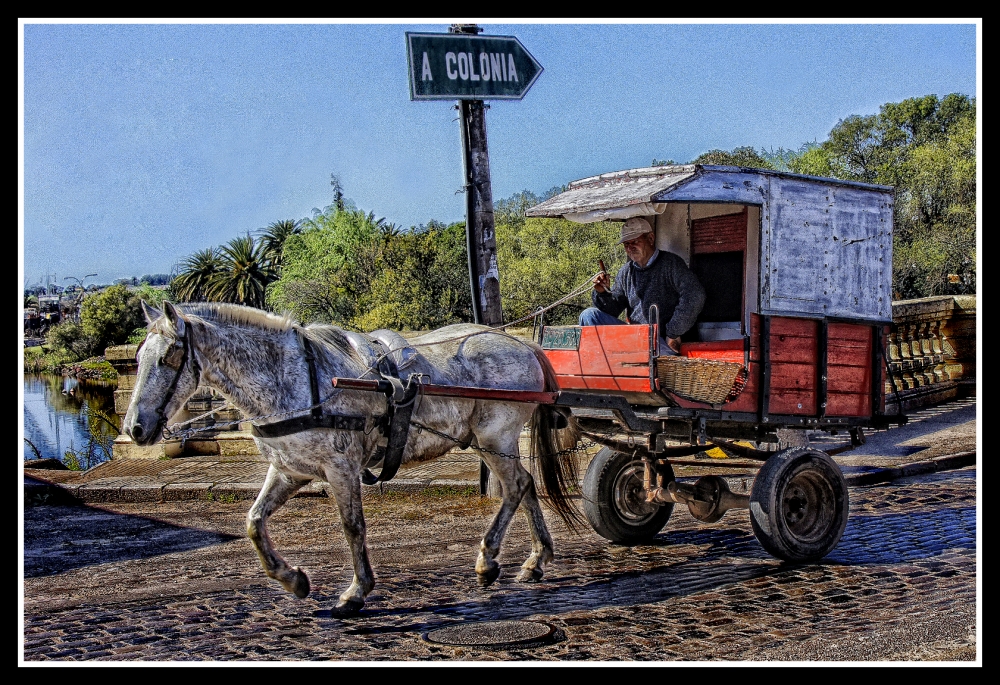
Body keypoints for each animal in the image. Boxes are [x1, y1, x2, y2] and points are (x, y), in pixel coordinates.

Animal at [123, 304, 580, 616]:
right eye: (139, 358)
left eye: (168, 358)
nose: (135, 428)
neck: (295, 378)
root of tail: (524, 344)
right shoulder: (289, 470)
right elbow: (253, 522)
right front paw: (292, 579)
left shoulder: (340, 468)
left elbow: (352, 527)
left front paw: (356, 591)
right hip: (495, 442)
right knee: (524, 485)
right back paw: (535, 560)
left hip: (493, 436)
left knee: (516, 486)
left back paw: (489, 559)